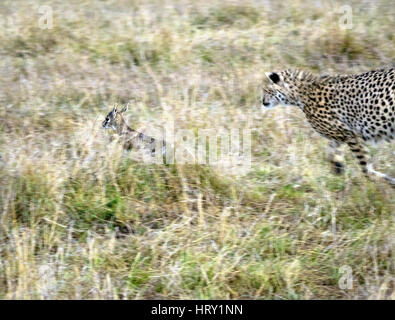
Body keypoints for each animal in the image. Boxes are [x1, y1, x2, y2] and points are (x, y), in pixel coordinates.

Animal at [262, 67, 394, 188]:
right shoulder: (340, 135)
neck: (302, 93)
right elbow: (330, 154)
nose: (262, 101)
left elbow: (364, 166)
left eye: (266, 90)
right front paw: (338, 167)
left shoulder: (349, 134)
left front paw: (383, 180)